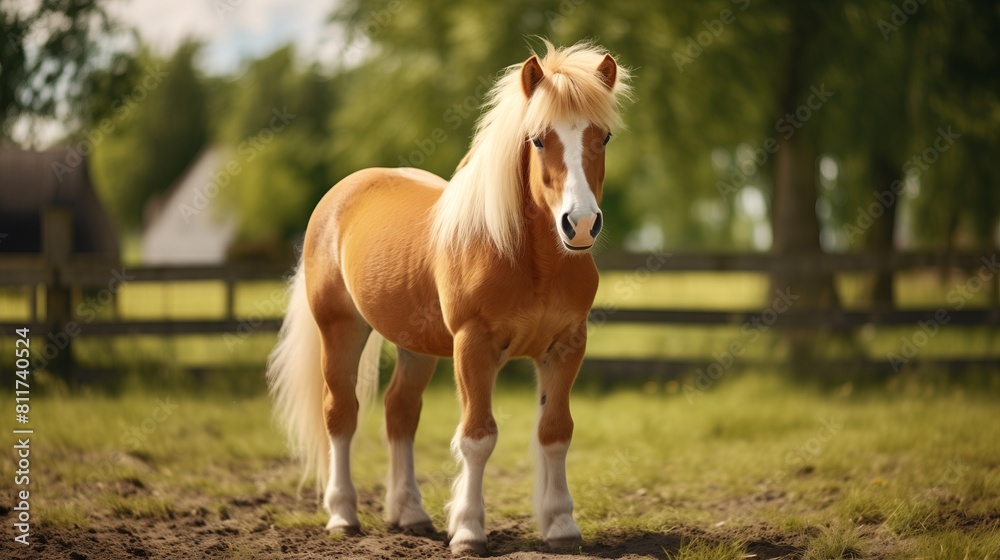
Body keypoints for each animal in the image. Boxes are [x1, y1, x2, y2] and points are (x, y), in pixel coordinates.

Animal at [266, 40, 631, 557]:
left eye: (605, 136)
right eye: (538, 139)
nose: (580, 225)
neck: (530, 259)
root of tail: (340, 195)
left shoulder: (566, 346)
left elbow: (555, 431)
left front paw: (561, 525)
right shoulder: (472, 346)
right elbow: (478, 436)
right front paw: (469, 531)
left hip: (415, 347)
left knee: (400, 412)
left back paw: (410, 514)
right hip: (341, 329)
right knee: (340, 413)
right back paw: (342, 515)